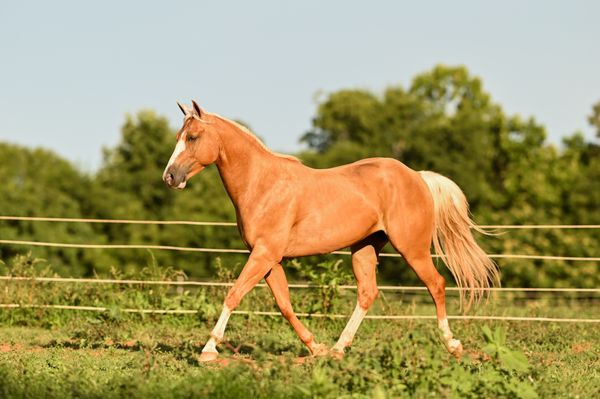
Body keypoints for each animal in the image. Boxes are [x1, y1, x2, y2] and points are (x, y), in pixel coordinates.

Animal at [162, 101, 500, 362]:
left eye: (192, 137)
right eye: (179, 136)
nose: (170, 177)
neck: (263, 184)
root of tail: (417, 176)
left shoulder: (264, 254)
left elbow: (233, 295)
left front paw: (208, 350)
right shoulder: (269, 259)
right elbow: (284, 305)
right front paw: (316, 348)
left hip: (412, 248)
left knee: (437, 285)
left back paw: (453, 345)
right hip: (364, 248)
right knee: (367, 294)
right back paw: (338, 349)